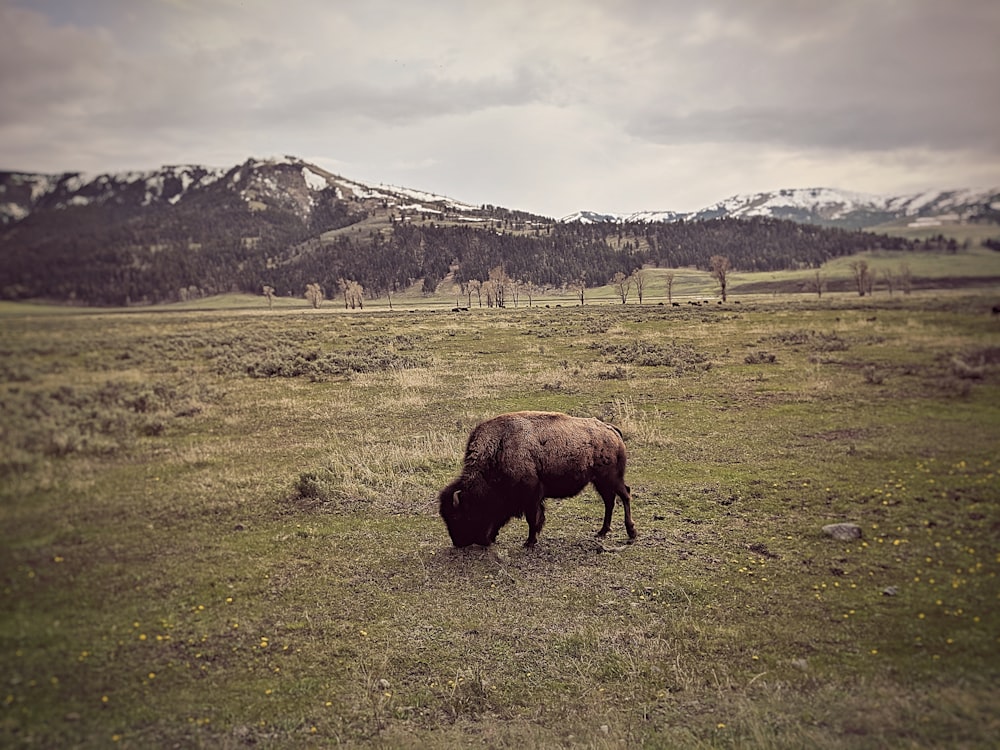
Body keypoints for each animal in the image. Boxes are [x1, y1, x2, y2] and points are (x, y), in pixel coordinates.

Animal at [436, 414, 632, 548]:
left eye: (457, 515)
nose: (458, 542)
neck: (499, 450)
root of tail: (611, 430)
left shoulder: (531, 495)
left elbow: (532, 518)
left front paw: (529, 542)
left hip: (610, 478)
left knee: (625, 495)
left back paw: (631, 533)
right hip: (600, 482)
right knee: (610, 501)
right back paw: (602, 532)